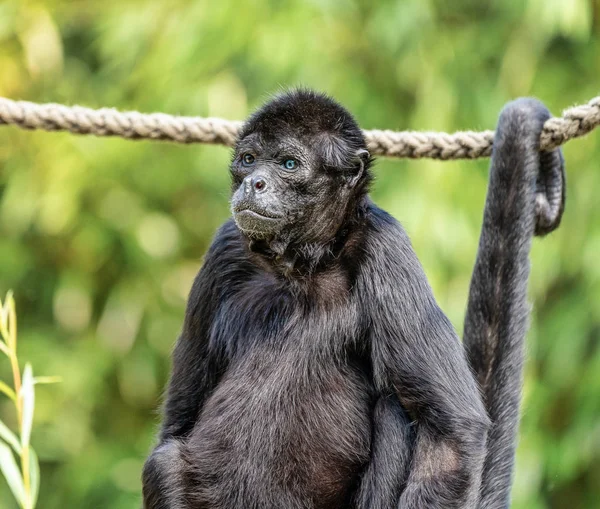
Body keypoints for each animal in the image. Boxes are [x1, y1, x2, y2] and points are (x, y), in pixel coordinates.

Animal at [143, 89, 564, 506]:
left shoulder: (385, 244)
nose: (254, 183)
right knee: (163, 464)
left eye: (288, 163)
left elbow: (452, 435)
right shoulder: (225, 247)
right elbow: (176, 422)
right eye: (249, 160)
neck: (301, 263)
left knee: (395, 409)